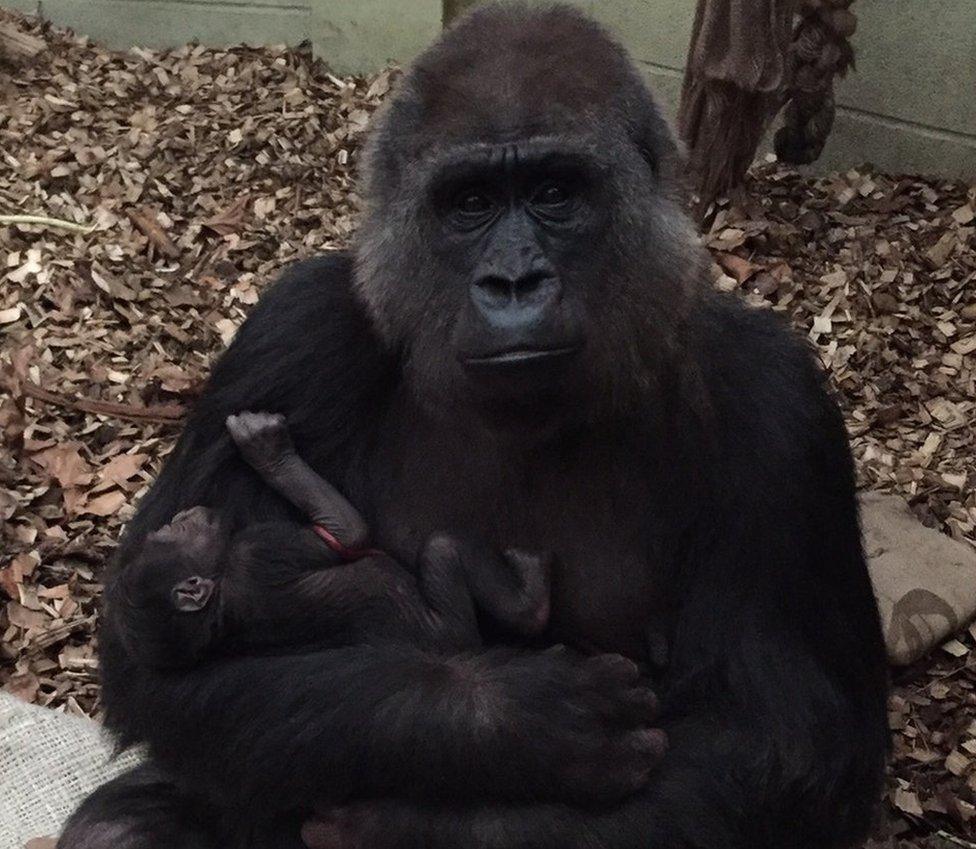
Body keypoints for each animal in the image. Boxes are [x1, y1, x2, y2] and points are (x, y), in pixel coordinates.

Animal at [118, 412, 548, 668]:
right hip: (454, 630)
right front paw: (270, 452)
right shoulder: (264, 549)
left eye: (164, 532)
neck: (217, 598)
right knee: (443, 549)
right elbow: (349, 533)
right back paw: (532, 600)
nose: (180, 517)